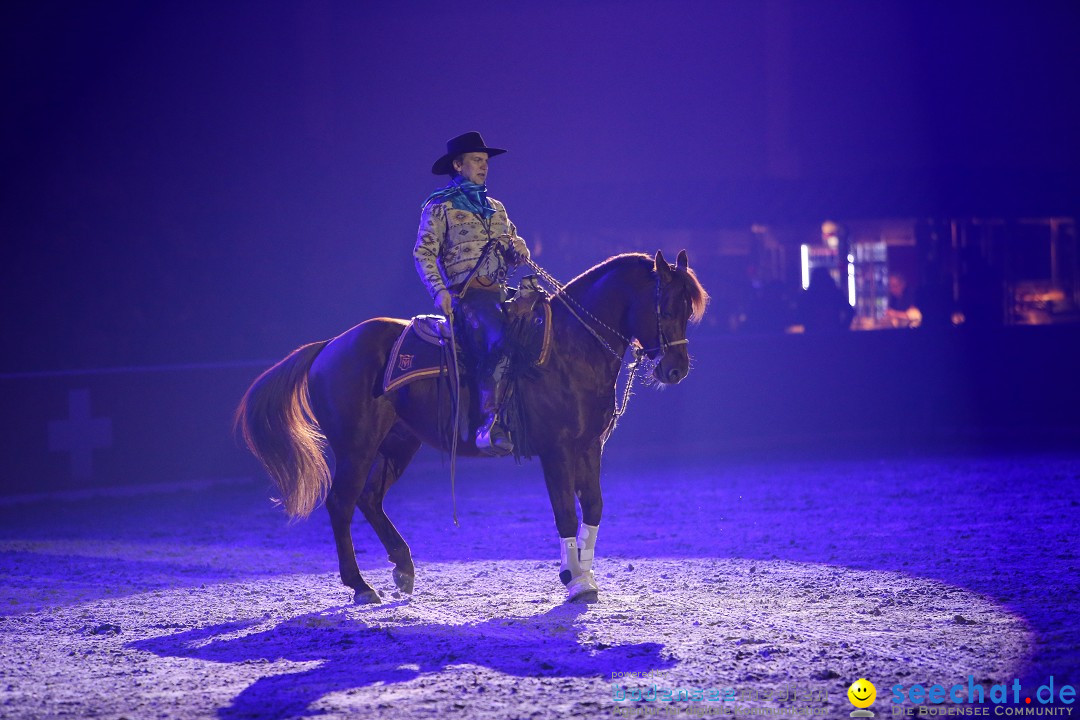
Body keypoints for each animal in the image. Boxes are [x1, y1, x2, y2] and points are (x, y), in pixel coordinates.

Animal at [236, 250, 708, 604]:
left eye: (689, 309)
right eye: (666, 306)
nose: (676, 369)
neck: (569, 348)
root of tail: (329, 346)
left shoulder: (590, 446)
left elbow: (592, 507)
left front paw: (585, 576)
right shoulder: (556, 450)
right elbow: (565, 511)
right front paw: (574, 581)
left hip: (397, 442)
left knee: (369, 499)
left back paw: (403, 569)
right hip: (356, 446)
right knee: (341, 503)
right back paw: (361, 586)